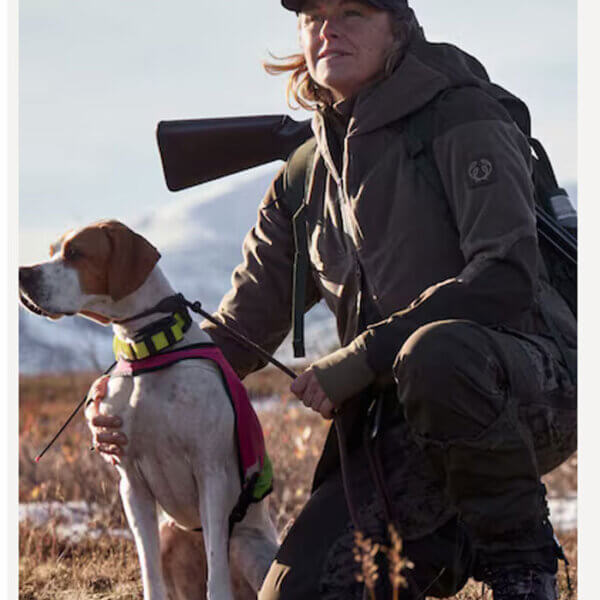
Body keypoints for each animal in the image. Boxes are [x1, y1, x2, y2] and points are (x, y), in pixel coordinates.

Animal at [19, 221, 278, 600]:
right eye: (52, 250)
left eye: (75, 253)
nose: (22, 273)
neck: (150, 349)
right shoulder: (131, 484)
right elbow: (148, 570)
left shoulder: (212, 474)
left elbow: (217, 576)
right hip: (171, 534)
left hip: (249, 549)